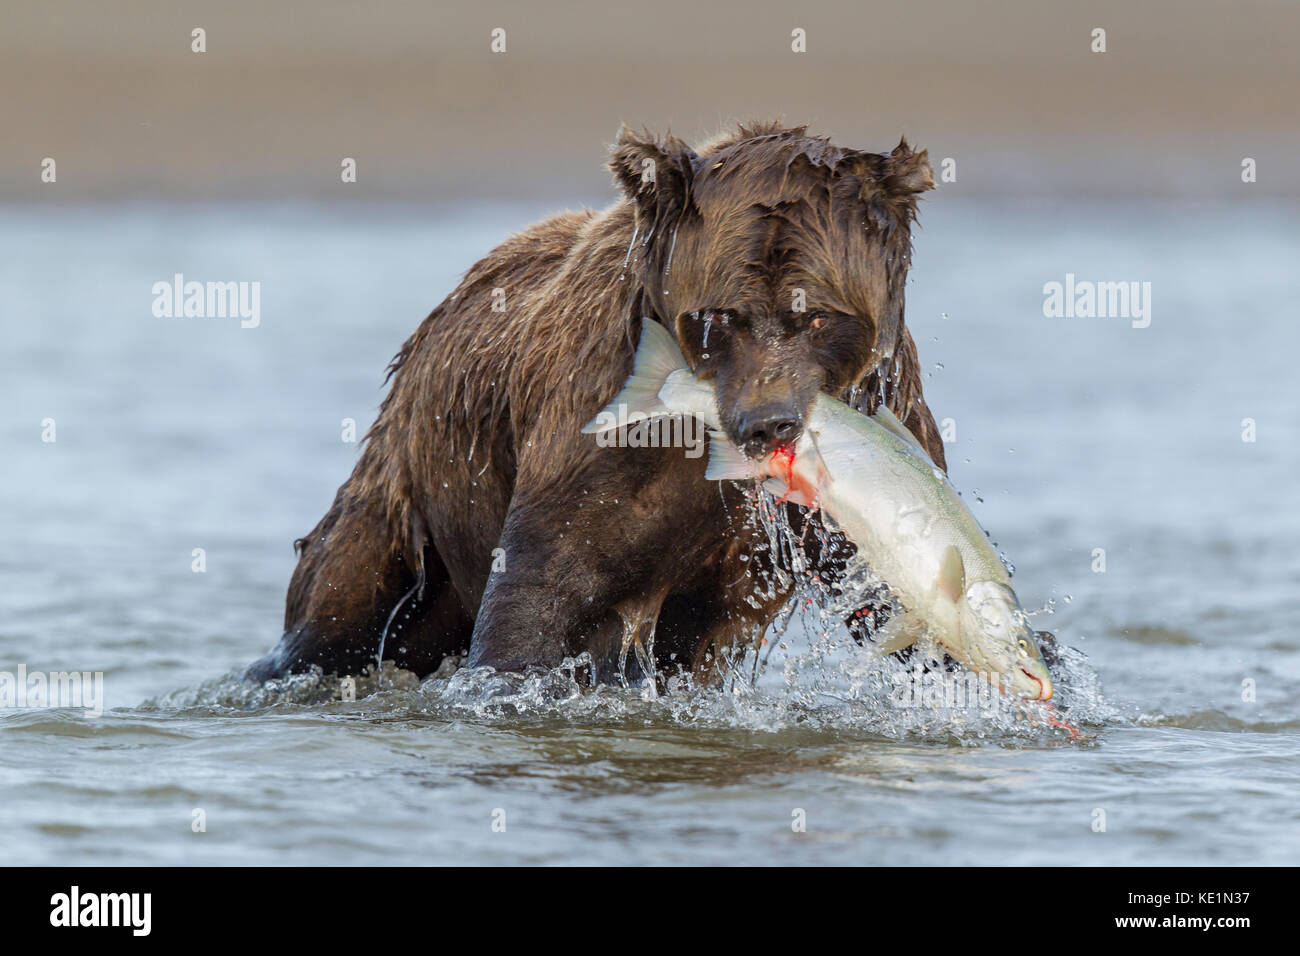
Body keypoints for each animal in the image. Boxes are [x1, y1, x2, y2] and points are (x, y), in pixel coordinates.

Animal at [248, 121, 946, 686]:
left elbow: (906, 601)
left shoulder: (877, 461)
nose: (766, 424)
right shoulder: (601, 445)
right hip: (412, 490)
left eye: (817, 316)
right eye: (721, 316)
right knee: (336, 607)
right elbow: (536, 599)